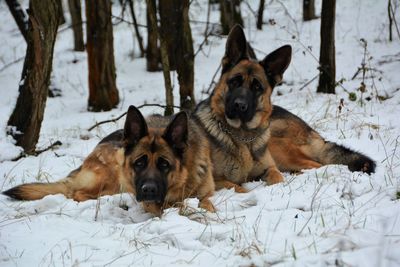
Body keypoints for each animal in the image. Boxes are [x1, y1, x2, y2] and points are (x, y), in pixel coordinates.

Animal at [3, 105, 216, 217]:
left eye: (164, 164)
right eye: (139, 163)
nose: (148, 190)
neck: (185, 179)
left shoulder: (206, 193)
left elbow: (206, 203)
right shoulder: (151, 202)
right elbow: (172, 206)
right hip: (113, 171)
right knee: (77, 193)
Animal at [194, 24, 376, 193]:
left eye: (257, 87)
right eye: (234, 82)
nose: (240, 105)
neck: (243, 138)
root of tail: (312, 131)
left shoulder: (270, 168)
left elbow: (277, 178)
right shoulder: (216, 181)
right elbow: (240, 188)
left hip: (277, 145)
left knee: (317, 165)